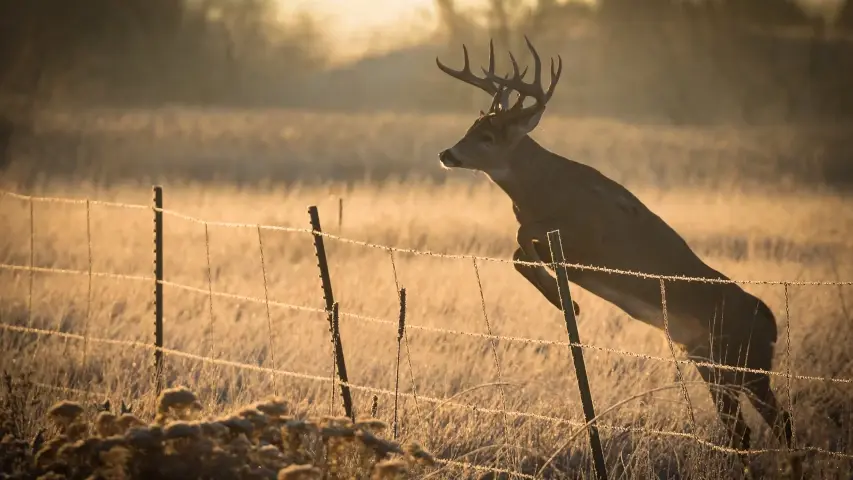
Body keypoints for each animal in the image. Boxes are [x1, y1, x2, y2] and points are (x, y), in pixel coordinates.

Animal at [436, 36, 796, 464]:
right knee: (747, 428)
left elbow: (524, 239)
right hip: (712, 363)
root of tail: (770, 323)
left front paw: (567, 301)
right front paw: (565, 300)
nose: (447, 154)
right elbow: (520, 250)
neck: (541, 188)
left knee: (773, 422)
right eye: (471, 127)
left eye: (488, 138)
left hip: (743, 364)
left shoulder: (587, 234)